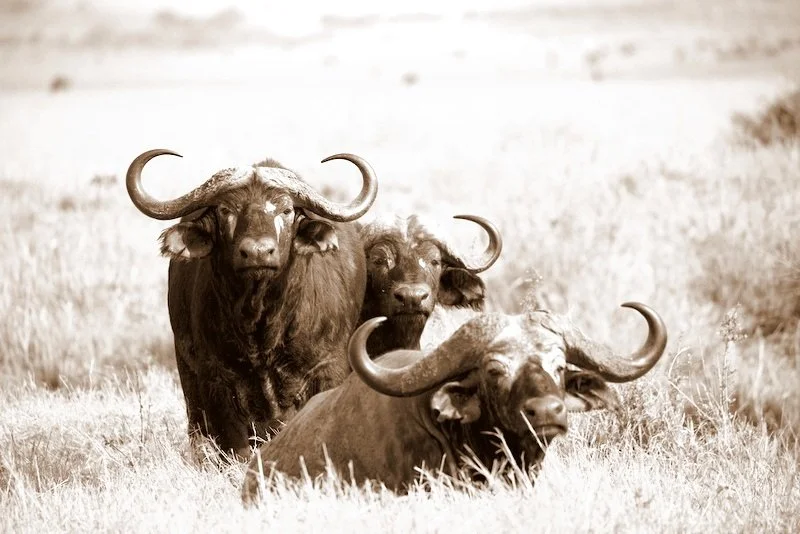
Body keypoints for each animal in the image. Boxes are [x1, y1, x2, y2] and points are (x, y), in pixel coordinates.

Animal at [125, 149, 378, 462]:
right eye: (226, 210)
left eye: (286, 210)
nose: (258, 252)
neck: (262, 324)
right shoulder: (215, 380)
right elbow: (236, 446)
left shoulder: (329, 368)